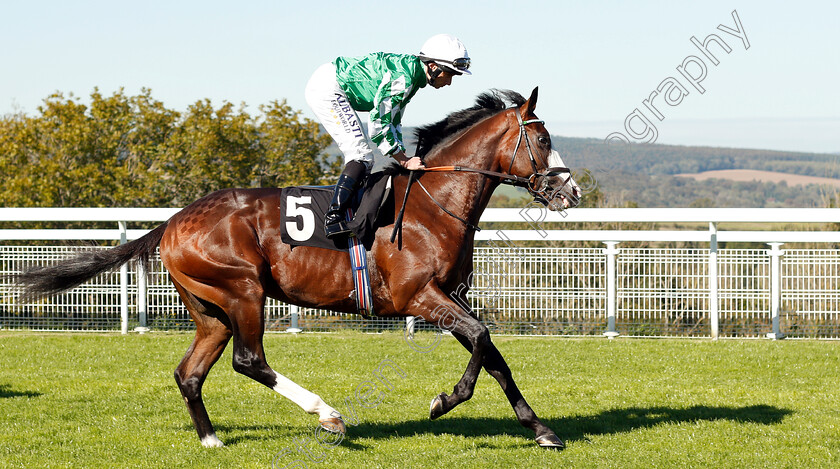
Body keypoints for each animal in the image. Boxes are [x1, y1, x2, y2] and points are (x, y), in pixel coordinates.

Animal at [18, 88, 584, 450]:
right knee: (248, 360)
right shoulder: (420, 296)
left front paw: (541, 430)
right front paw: (444, 400)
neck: (432, 202)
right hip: (243, 290)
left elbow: (494, 355)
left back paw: (211, 439)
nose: (572, 191)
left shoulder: (450, 294)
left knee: (190, 373)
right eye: (542, 140)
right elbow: (483, 339)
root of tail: (174, 221)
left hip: (210, 309)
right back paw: (328, 416)